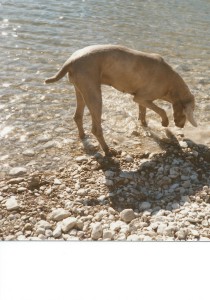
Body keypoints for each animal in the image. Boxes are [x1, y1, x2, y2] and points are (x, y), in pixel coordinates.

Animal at [44, 45, 197, 157]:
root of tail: (70, 61)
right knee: (96, 129)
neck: (171, 83)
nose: (181, 126)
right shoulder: (140, 97)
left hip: (80, 90)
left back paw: (83, 136)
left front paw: (144, 124)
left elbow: (143, 113)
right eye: (186, 113)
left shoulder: (141, 99)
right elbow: (162, 110)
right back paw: (108, 150)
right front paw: (164, 122)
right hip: (94, 94)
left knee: (77, 116)